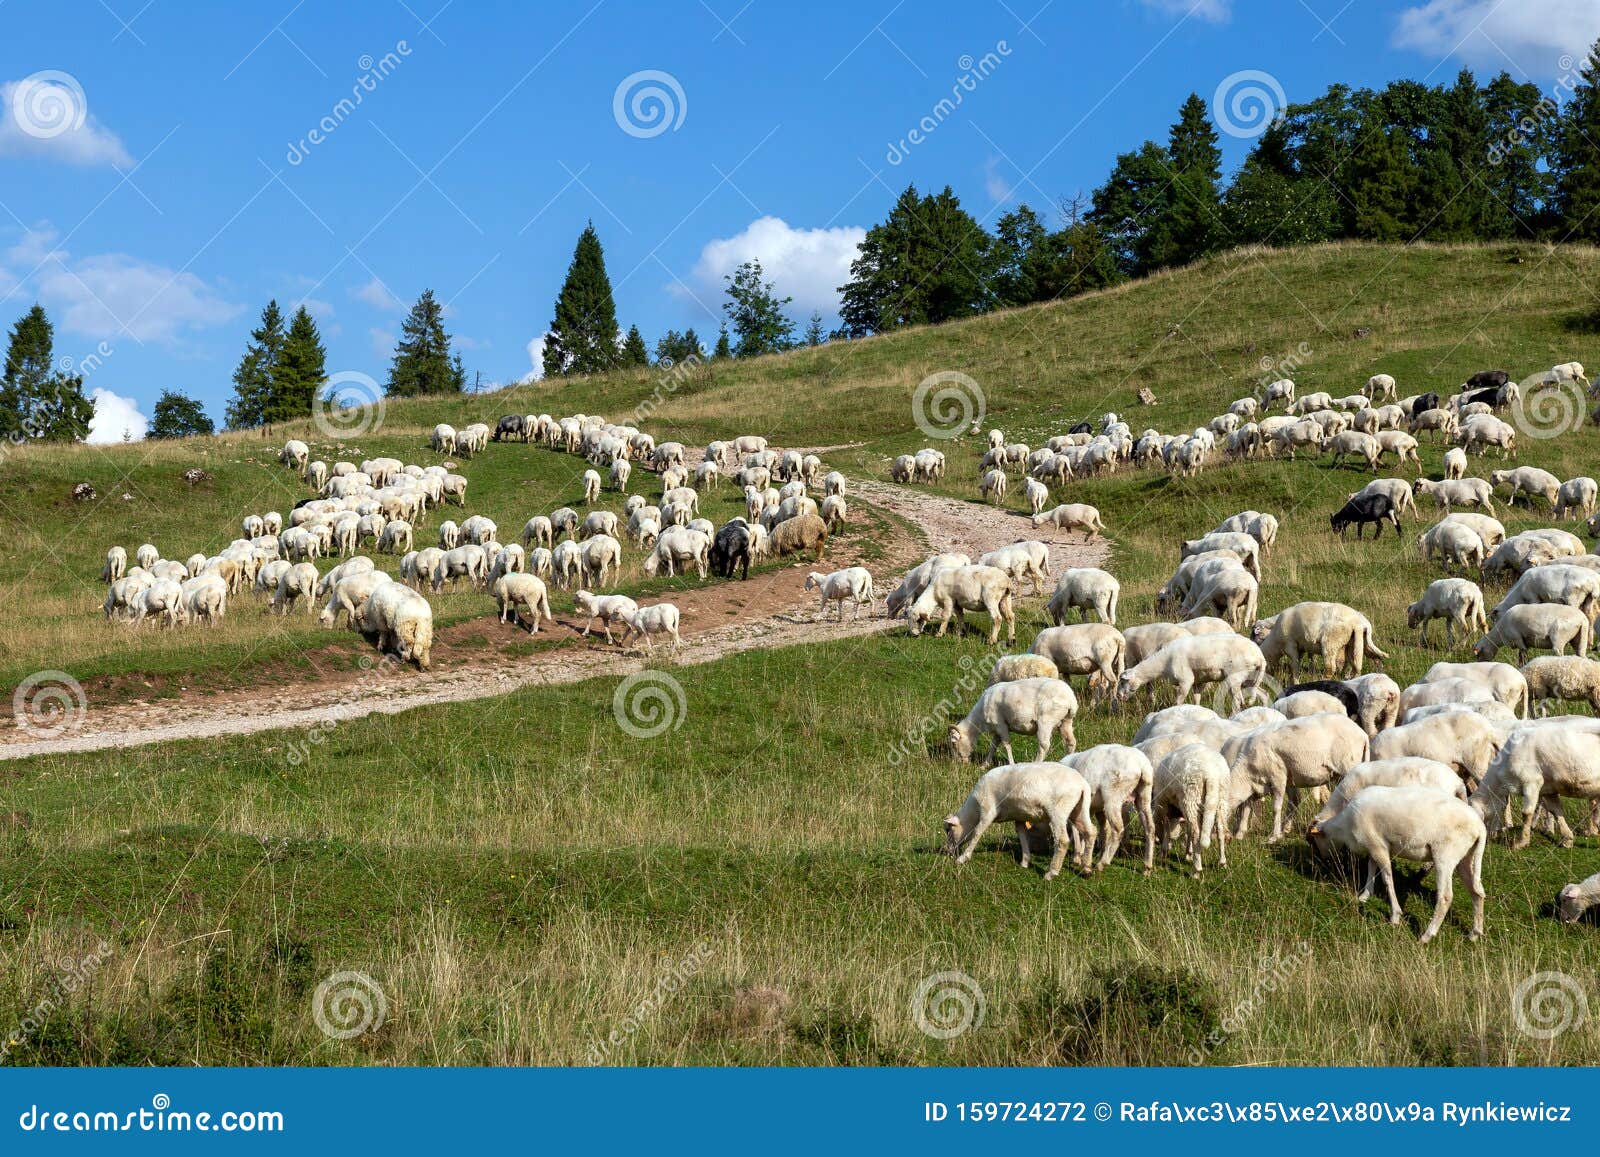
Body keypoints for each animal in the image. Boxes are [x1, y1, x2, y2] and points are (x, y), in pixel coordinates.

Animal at [943, 762, 1095, 879]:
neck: (974, 809)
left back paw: (1051, 873)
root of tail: (1082, 784)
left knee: (1063, 840)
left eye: (948, 829)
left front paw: (963, 858)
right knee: (1091, 832)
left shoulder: (988, 811)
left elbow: (977, 832)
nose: (948, 851)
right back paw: (1086, 869)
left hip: (1058, 811)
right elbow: (1022, 835)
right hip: (1078, 810)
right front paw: (1025, 862)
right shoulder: (1019, 817)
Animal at [948, 677, 1079, 764]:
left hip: (1046, 721)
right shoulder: (997, 728)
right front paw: (985, 764)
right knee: (1071, 742)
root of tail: (1070, 699)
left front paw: (1011, 763)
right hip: (1066, 721)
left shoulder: (1000, 724)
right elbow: (993, 745)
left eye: (954, 744)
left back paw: (1036, 763)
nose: (958, 763)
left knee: (1044, 745)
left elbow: (1006, 745)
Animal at [1115, 633, 1266, 711]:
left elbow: (1178, 702)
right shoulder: (1198, 682)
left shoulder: (1185, 681)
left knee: (1238, 700)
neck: (1162, 663)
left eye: (1122, 682)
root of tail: (1259, 656)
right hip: (1249, 678)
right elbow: (1196, 700)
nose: (1118, 696)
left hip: (1236, 676)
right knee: (1263, 694)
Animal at [1223, 714, 1370, 842]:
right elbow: (1247, 807)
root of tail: (1362, 734)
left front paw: (1274, 837)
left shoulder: (1278, 777)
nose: (1224, 837)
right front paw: (1240, 834)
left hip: (1349, 766)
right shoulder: (1265, 783)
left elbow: (1276, 807)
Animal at [1307, 786, 1486, 943]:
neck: (1343, 828)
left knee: (1445, 897)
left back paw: (1426, 936)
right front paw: (1365, 894)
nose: (1321, 860)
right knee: (1477, 892)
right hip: (1465, 857)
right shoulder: (1374, 845)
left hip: (1445, 855)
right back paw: (1474, 934)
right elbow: (1371, 868)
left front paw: (1395, 916)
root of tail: (1480, 827)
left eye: (1313, 841)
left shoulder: (1378, 847)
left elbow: (1387, 879)